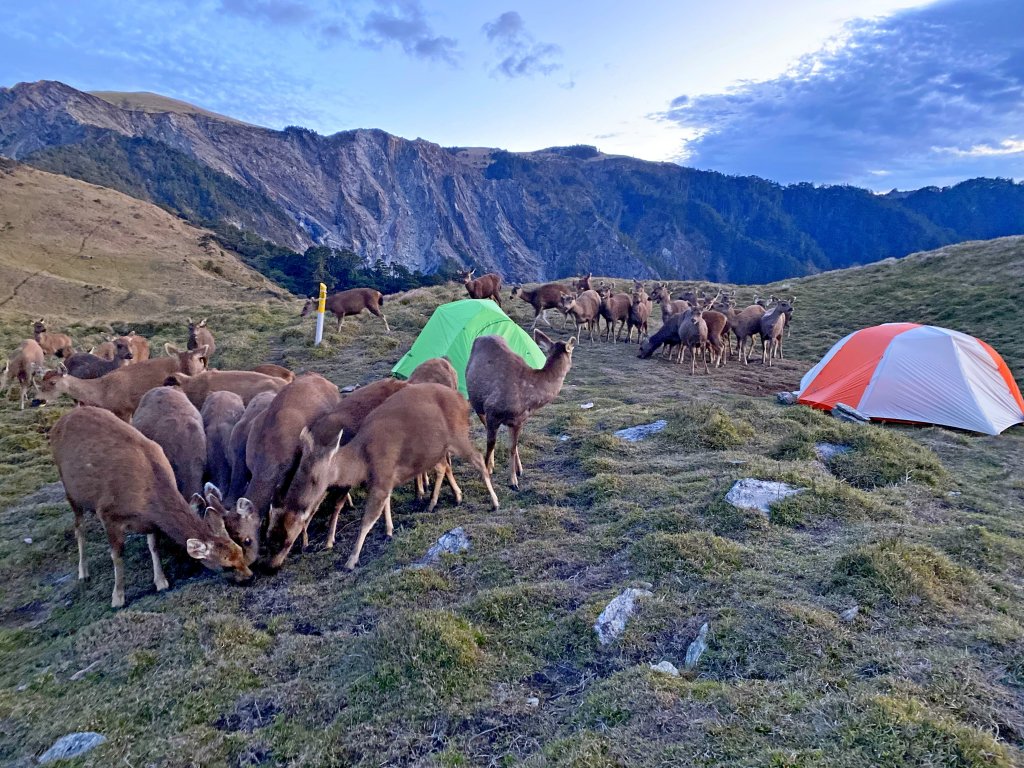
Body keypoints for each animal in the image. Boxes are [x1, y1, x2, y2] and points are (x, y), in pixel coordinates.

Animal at [49, 405, 251, 610]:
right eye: (226, 566)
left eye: (240, 551)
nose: (250, 576)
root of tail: (61, 420)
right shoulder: (107, 513)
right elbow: (117, 555)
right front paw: (117, 598)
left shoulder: (150, 522)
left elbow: (153, 546)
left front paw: (161, 582)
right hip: (69, 489)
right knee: (78, 527)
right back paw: (83, 573)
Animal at [466, 329, 573, 487]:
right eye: (572, 350)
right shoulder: (492, 410)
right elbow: (491, 444)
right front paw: (486, 474)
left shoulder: (519, 420)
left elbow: (512, 447)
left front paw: (514, 480)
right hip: (476, 402)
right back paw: (491, 466)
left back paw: (516, 469)